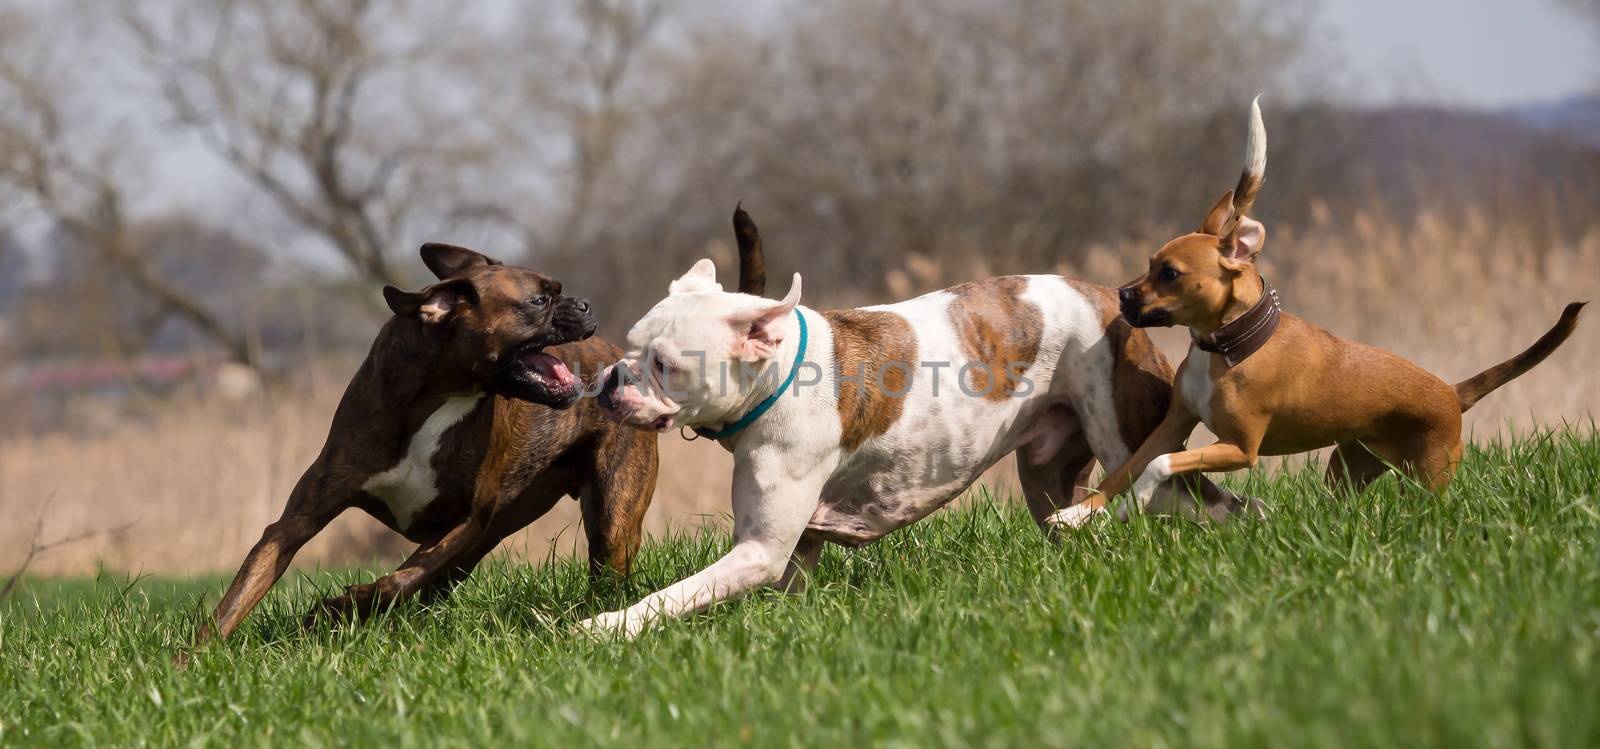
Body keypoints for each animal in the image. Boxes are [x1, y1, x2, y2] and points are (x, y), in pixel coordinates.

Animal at [190, 243, 672, 646]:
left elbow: (403, 577)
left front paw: (344, 604)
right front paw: (195, 658)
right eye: (539, 301)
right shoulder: (298, 521)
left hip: (609, 522)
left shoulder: (464, 522)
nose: (585, 304)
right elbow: (242, 592)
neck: (440, 397)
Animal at [1049, 96, 1587, 528]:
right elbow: (1122, 471)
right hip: (1346, 468)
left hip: (1425, 477)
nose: (1122, 296)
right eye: (1149, 265)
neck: (1227, 347)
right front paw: (1076, 514)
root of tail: (1453, 394)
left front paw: (1132, 503)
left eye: (1170, 273)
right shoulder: (1171, 427)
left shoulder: (1239, 450)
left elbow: (1155, 470)